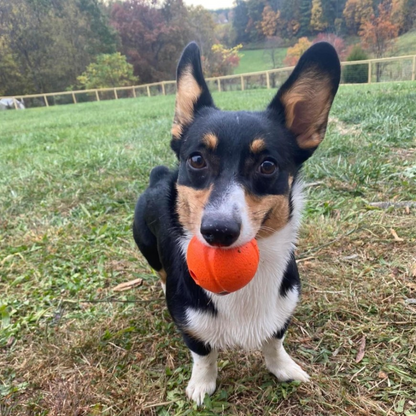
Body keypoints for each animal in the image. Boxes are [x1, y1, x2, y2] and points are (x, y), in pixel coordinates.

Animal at [134, 40, 342, 404]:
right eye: (197, 160)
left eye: (267, 165)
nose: (218, 231)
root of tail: (158, 176)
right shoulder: (191, 326)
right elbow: (204, 354)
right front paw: (202, 385)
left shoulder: (281, 312)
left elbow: (274, 342)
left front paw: (284, 368)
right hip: (145, 243)